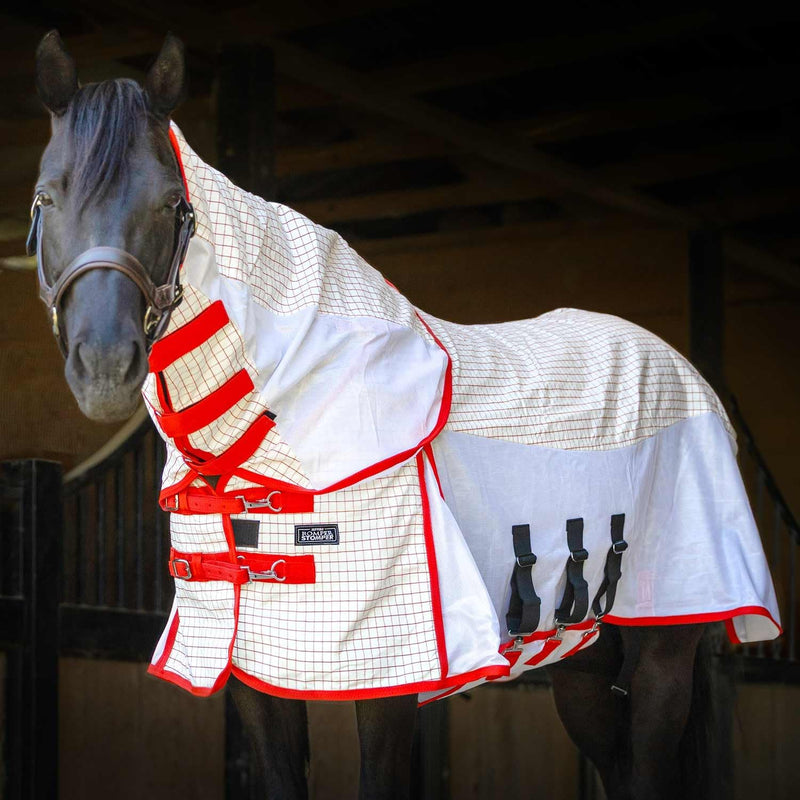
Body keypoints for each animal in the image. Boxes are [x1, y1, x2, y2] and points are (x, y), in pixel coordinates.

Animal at [31, 31, 780, 800]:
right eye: (46, 197)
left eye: (170, 203)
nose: (105, 368)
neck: (271, 432)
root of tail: (688, 375)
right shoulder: (256, 678)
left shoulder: (387, 680)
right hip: (584, 657)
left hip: (664, 654)